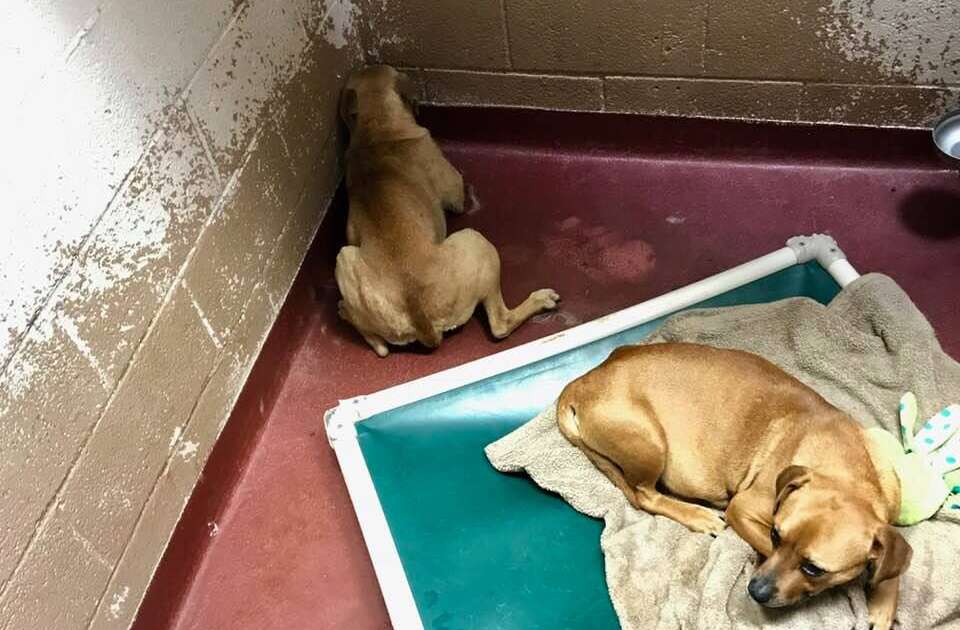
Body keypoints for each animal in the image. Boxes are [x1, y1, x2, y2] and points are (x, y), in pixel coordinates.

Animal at [334, 66, 560, 358]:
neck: (376, 128)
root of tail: (421, 318)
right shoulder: (453, 190)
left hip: (344, 257)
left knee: (378, 345)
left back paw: (345, 313)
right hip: (476, 241)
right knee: (500, 323)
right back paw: (539, 300)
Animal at [560, 344, 912, 630]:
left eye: (813, 568)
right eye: (775, 535)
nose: (755, 591)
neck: (847, 470)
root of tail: (581, 383)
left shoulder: (888, 522)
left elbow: (892, 566)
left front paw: (883, 603)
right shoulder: (744, 508)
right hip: (650, 443)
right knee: (644, 495)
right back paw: (696, 515)